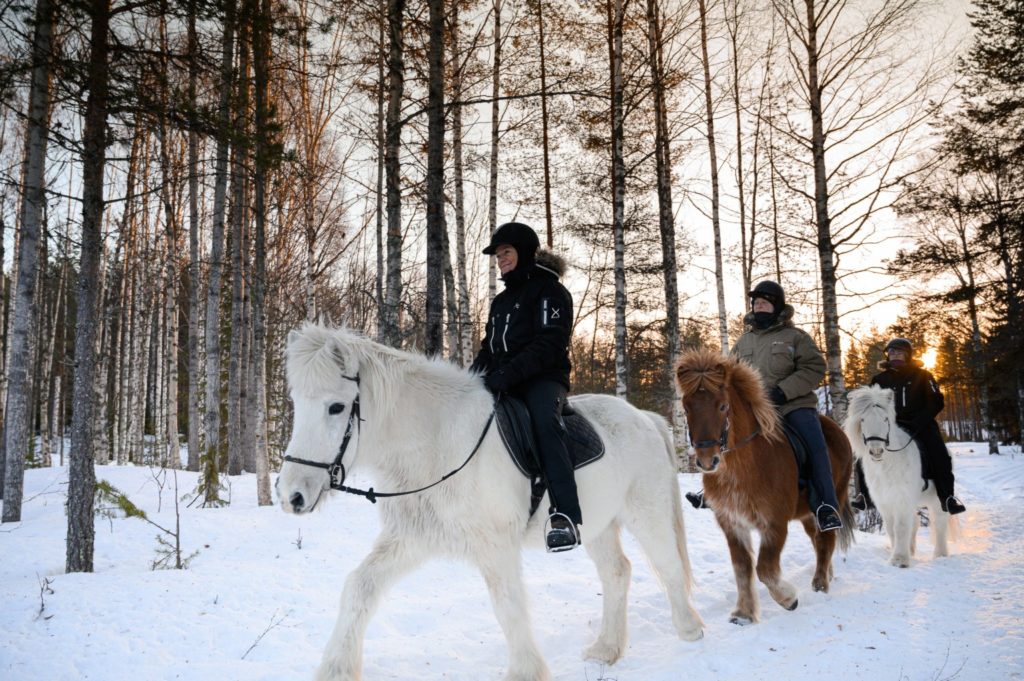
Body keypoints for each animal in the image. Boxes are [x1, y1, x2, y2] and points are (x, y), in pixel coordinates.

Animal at [274, 323, 704, 679]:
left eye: (336, 407)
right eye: (296, 402)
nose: (291, 495)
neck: (439, 443)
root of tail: (645, 418)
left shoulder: (495, 546)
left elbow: (508, 606)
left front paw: (526, 673)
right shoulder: (410, 540)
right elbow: (358, 588)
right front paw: (336, 669)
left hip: (645, 512)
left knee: (667, 564)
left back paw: (690, 630)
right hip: (597, 524)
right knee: (617, 573)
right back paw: (606, 650)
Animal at [675, 348, 851, 622]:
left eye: (723, 406)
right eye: (686, 407)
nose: (706, 460)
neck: (746, 467)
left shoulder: (775, 523)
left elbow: (765, 568)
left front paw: (788, 598)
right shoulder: (731, 523)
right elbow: (743, 568)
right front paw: (744, 614)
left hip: (833, 497)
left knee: (826, 539)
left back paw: (821, 584)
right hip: (807, 513)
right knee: (817, 539)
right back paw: (827, 574)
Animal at [839, 385, 950, 565]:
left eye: (885, 419)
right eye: (862, 420)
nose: (876, 451)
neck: (887, 465)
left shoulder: (902, 498)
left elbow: (901, 527)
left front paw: (899, 560)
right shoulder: (884, 501)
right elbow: (891, 528)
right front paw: (898, 554)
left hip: (936, 499)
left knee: (940, 522)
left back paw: (940, 555)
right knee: (916, 522)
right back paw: (911, 550)